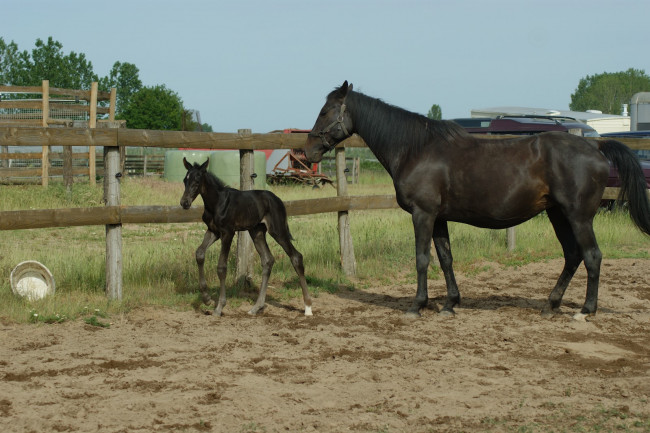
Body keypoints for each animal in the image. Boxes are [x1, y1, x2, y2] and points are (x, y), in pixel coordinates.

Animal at [180, 157, 312, 316]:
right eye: (185, 180)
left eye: (197, 180)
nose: (184, 203)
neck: (216, 202)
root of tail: (278, 200)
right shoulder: (213, 231)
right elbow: (199, 254)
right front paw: (207, 299)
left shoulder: (228, 232)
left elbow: (221, 267)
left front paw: (219, 307)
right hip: (257, 232)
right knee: (268, 260)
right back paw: (256, 307)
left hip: (277, 231)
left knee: (296, 257)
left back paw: (308, 307)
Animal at [304, 80, 648, 320]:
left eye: (325, 111)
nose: (308, 151)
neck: (417, 149)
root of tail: (596, 147)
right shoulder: (438, 217)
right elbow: (445, 259)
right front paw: (449, 304)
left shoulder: (423, 214)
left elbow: (421, 259)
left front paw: (417, 305)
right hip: (558, 215)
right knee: (573, 256)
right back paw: (551, 305)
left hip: (578, 217)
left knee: (592, 256)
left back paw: (585, 310)